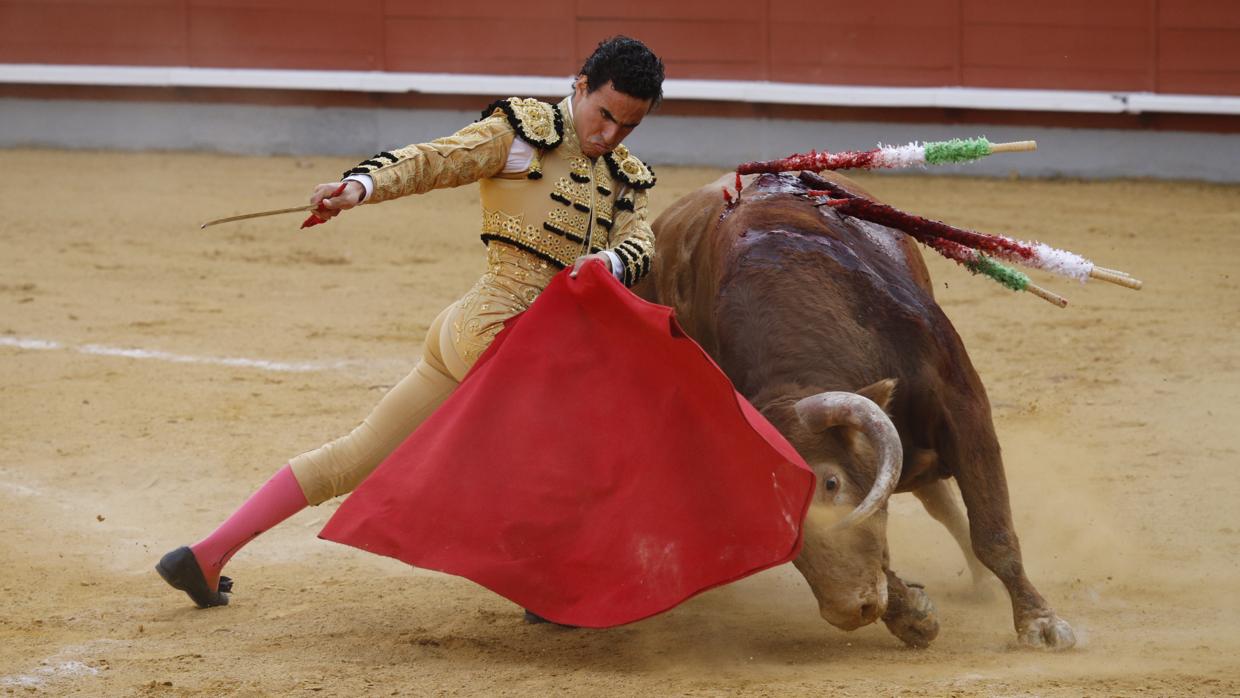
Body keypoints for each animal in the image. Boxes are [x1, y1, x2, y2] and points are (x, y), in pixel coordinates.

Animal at [639, 172, 1076, 654]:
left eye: (831, 483)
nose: (849, 611)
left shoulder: (964, 407)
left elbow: (993, 530)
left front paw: (1040, 622)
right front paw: (912, 615)